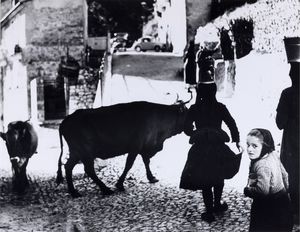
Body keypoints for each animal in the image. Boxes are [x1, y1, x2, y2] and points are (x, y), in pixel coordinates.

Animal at [56, 93, 192, 198]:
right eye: (188, 114)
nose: (192, 128)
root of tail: (66, 120)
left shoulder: (144, 147)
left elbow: (146, 162)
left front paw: (151, 177)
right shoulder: (135, 147)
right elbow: (129, 165)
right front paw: (120, 184)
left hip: (76, 152)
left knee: (68, 167)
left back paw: (74, 192)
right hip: (85, 152)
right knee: (88, 170)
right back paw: (105, 189)